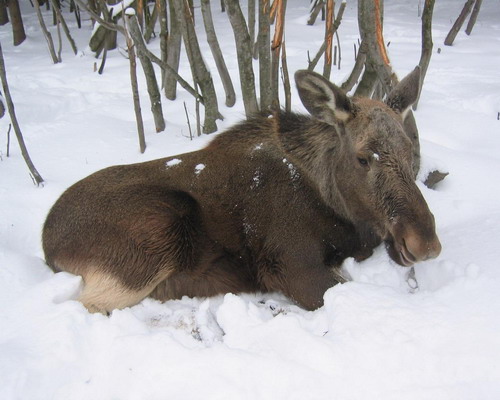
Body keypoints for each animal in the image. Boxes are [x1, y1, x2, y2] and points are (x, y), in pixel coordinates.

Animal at [44, 69, 442, 314]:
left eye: (410, 150)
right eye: (362, 158)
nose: (424, 243)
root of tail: (47, 241)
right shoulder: (287, 264)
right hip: (156, 231)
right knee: (87, 304)